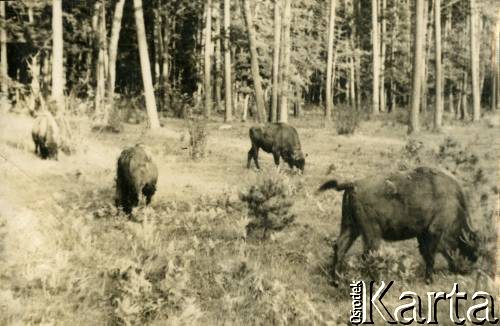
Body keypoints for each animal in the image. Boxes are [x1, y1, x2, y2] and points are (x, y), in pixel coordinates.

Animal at [318, 167, 478, 286]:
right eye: (470, 247)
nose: (469, 267)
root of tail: (354, 184)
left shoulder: (422, 234)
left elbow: (426, 254)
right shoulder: (434, 231)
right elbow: (431, 256)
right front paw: (429, 280)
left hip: (351, 227)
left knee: (340, 247)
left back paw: (335, 281)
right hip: (372, 233)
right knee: (368, 254)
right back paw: (375, 282)